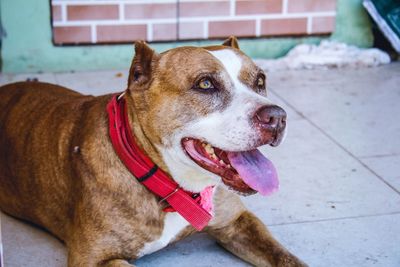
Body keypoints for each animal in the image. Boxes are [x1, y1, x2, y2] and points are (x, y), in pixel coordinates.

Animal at [0, 36, 306, 266]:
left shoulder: (238, 222)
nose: (277, 117)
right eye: (206, 84)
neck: (172, 188)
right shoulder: (92, 259)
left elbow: (286, 258)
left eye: (260, 81)